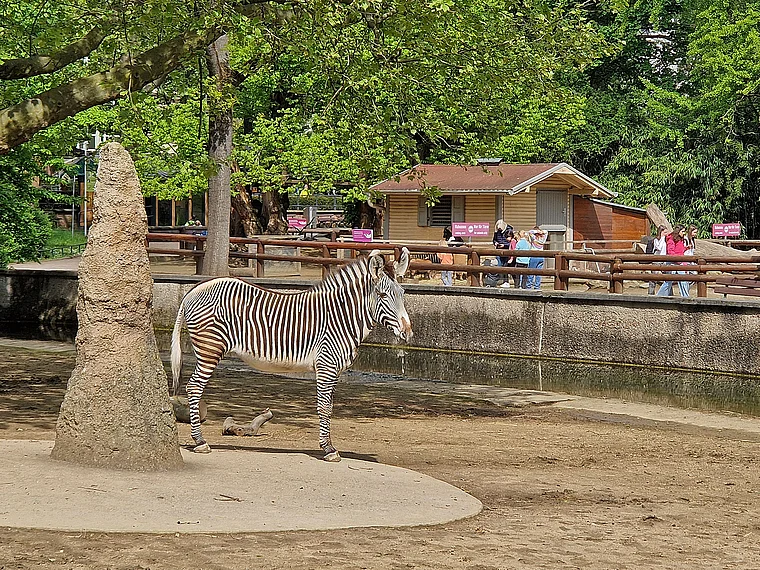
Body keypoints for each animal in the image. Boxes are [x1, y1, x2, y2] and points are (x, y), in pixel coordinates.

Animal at [171, 248, 412, 462]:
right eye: (382, 295)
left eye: (402, 294)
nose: (408, 333)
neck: (341, 317)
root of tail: (193, 290)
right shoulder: (326, 365)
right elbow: (324, 407)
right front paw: (328, 449)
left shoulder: (334, 370)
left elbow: (330, 407)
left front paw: (328, 445)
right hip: (210, 348)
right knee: (194, 387)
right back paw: (200, 441)